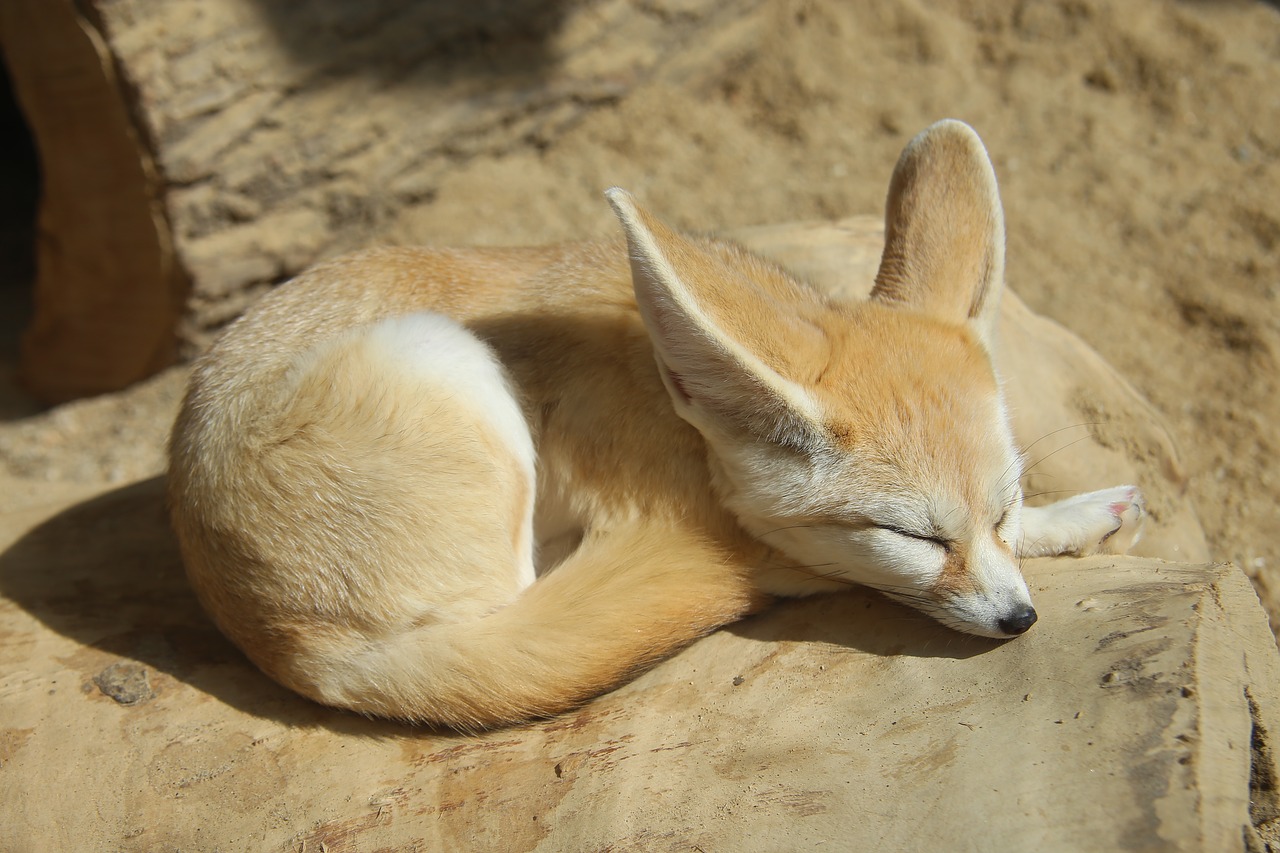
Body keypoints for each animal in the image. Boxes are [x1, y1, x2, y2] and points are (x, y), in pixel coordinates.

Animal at [167, 119, 1141, 727]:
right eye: (912, 537)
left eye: (1000, 511)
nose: (1019, 620)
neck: (674, 410)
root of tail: (296, 648)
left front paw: (1071, 517)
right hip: (447, 362)